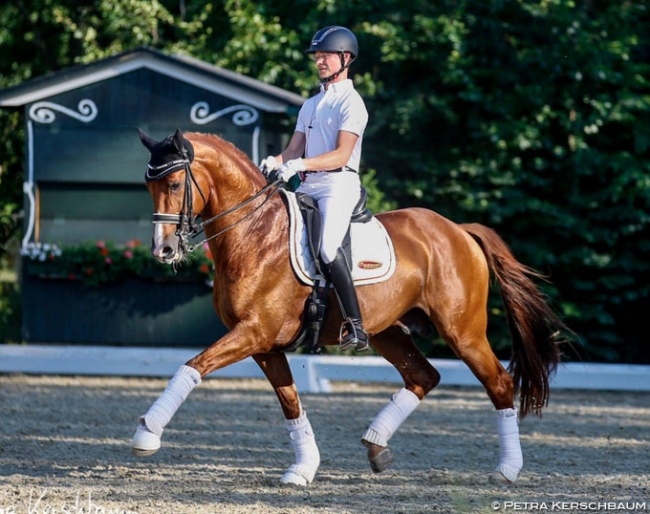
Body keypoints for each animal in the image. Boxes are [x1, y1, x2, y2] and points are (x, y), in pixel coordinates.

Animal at [133, 128, 568, 484]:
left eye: (175, 183)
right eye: (148, 185)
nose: (163, 250)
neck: (254, 232)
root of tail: (458, 230)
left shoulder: (254, 332)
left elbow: (191, 367)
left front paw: (147, 433)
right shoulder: (264, 344)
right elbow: (290, 403)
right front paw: (303, 468)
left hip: (463, 332)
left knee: (499, 383)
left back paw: (507, 469)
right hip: (389, 331)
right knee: (424, 376)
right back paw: (376, 445)